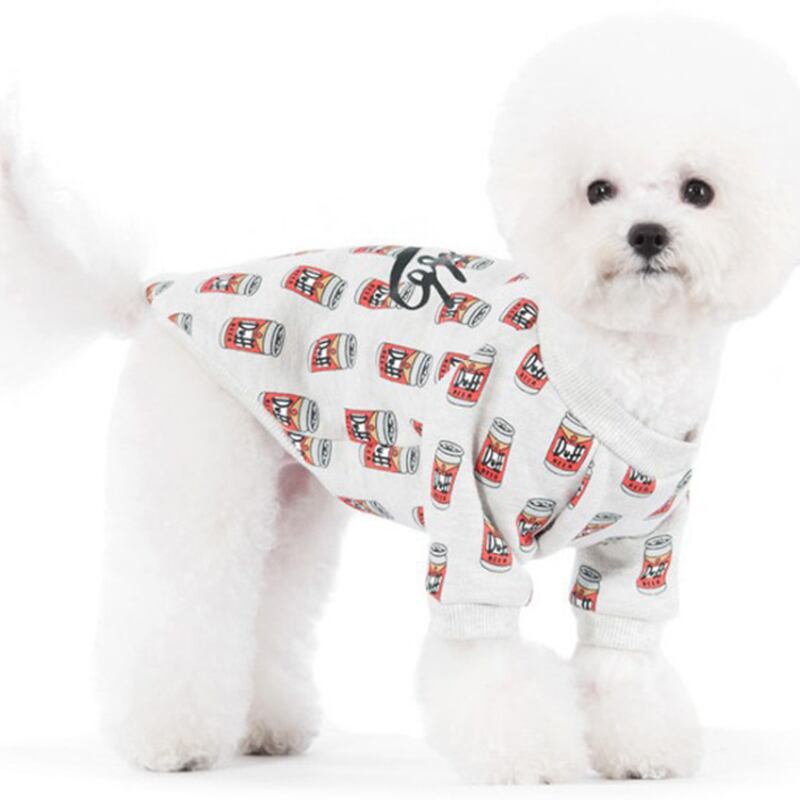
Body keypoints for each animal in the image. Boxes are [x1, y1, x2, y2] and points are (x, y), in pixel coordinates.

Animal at [1, 13, 799, 785]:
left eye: (699, 191)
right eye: (597, 190)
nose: (647, 234)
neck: (615, 363)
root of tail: (157, 293)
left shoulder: (642, 543)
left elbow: (623, 654)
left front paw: (640, 749)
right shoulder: (472, 516)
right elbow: (486, 657)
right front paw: (528, 754)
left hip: (291, 495)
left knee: (270, 604)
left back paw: (266, 728)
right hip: (200, 460)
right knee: (181, 600)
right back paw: (171, 742)